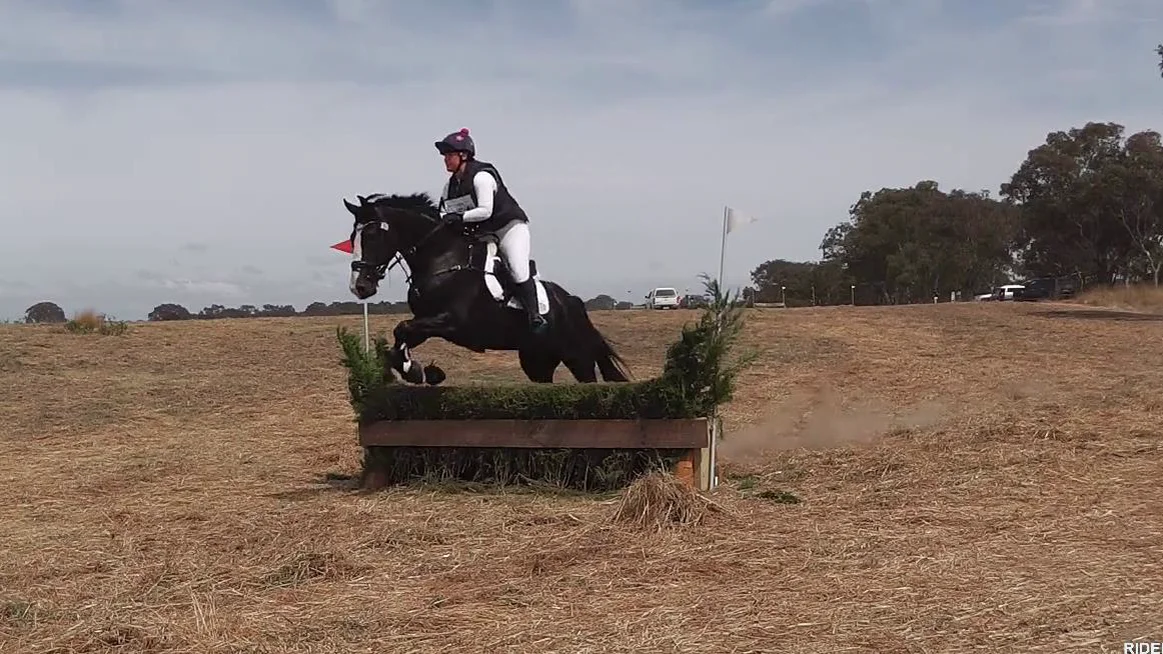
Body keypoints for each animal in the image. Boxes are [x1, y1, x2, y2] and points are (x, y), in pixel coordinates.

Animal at [342, 192, 633, 386]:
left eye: (372, 236)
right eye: (353, 237)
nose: (360, 287)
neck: (442, 259)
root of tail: (572, 302)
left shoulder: (454, 322)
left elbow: (402, 328)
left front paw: (416, 371)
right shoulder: (426, 321)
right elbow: (402, 334)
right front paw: (416, 370)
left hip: (576, 356)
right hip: (537, 360)